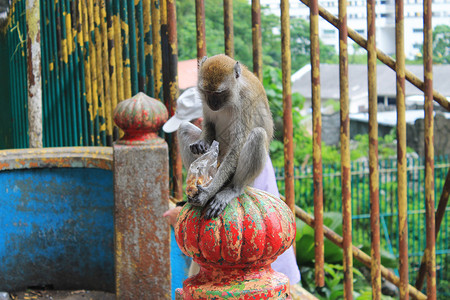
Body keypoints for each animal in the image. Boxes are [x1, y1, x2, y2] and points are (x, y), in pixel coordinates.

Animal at [178, 54, 274, 218]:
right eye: (207, 91)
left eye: (218, 93)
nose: (212, 103)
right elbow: (209, 122)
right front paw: (202, 143)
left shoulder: (245, 101)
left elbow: (237, 147)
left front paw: (208, 192)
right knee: (183, 127)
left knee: (258, 135)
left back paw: (233, 189)